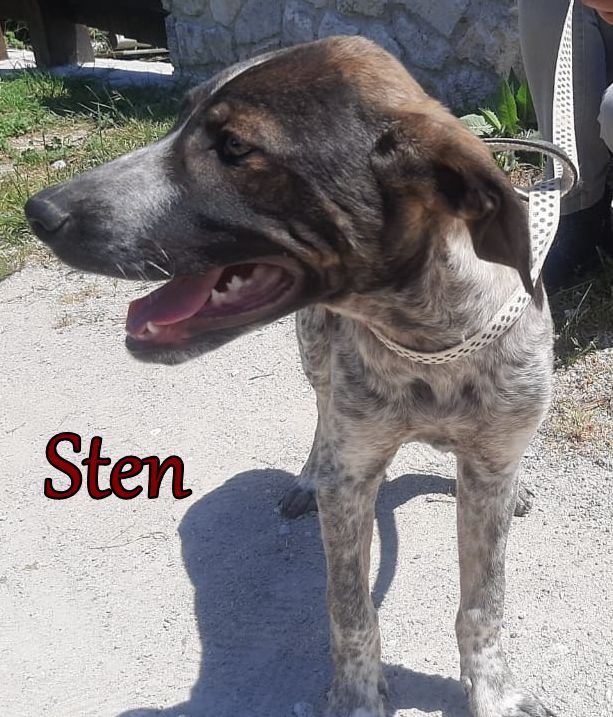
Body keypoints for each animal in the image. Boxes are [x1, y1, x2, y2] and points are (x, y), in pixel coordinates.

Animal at [25, 37, 555, 717]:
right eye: (181, 119)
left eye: (235, 148)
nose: (39, 211)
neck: (428, 345)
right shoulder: (353, 480)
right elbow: (351, 610)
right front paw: (356, 696)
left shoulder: (488, 465)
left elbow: (483, 605)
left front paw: (494, 692)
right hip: (315, 351)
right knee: (323, 415)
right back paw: (308, 476)